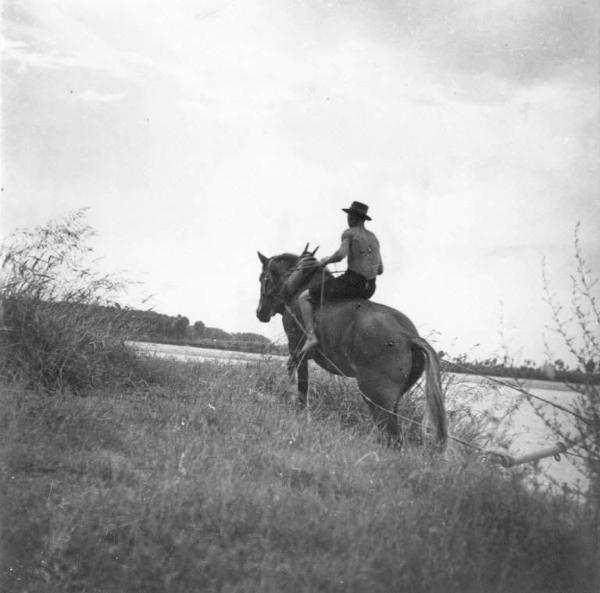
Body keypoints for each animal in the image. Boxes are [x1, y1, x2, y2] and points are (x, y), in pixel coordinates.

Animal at [255, 247, 448, 446]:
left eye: (262, 278)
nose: (260, 312)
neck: (299, 282)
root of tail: (409, 336)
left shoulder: (296, 347)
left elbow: (302, 385)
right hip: (392, 401)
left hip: (377, 396)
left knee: (393, 437)